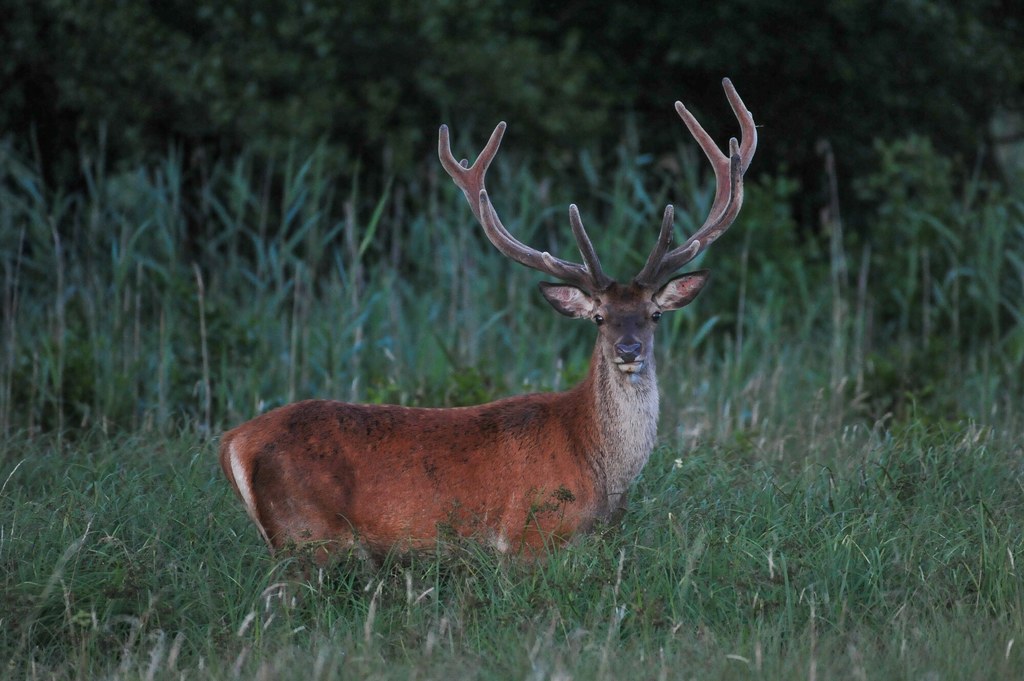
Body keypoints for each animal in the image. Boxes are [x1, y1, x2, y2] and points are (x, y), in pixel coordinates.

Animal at [220, 76, 757, 561]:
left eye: (654, 314)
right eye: (600, 318)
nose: (630, 349)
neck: (596, 466)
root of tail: (233, 442)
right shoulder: (528, 535)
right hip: (308, 535)